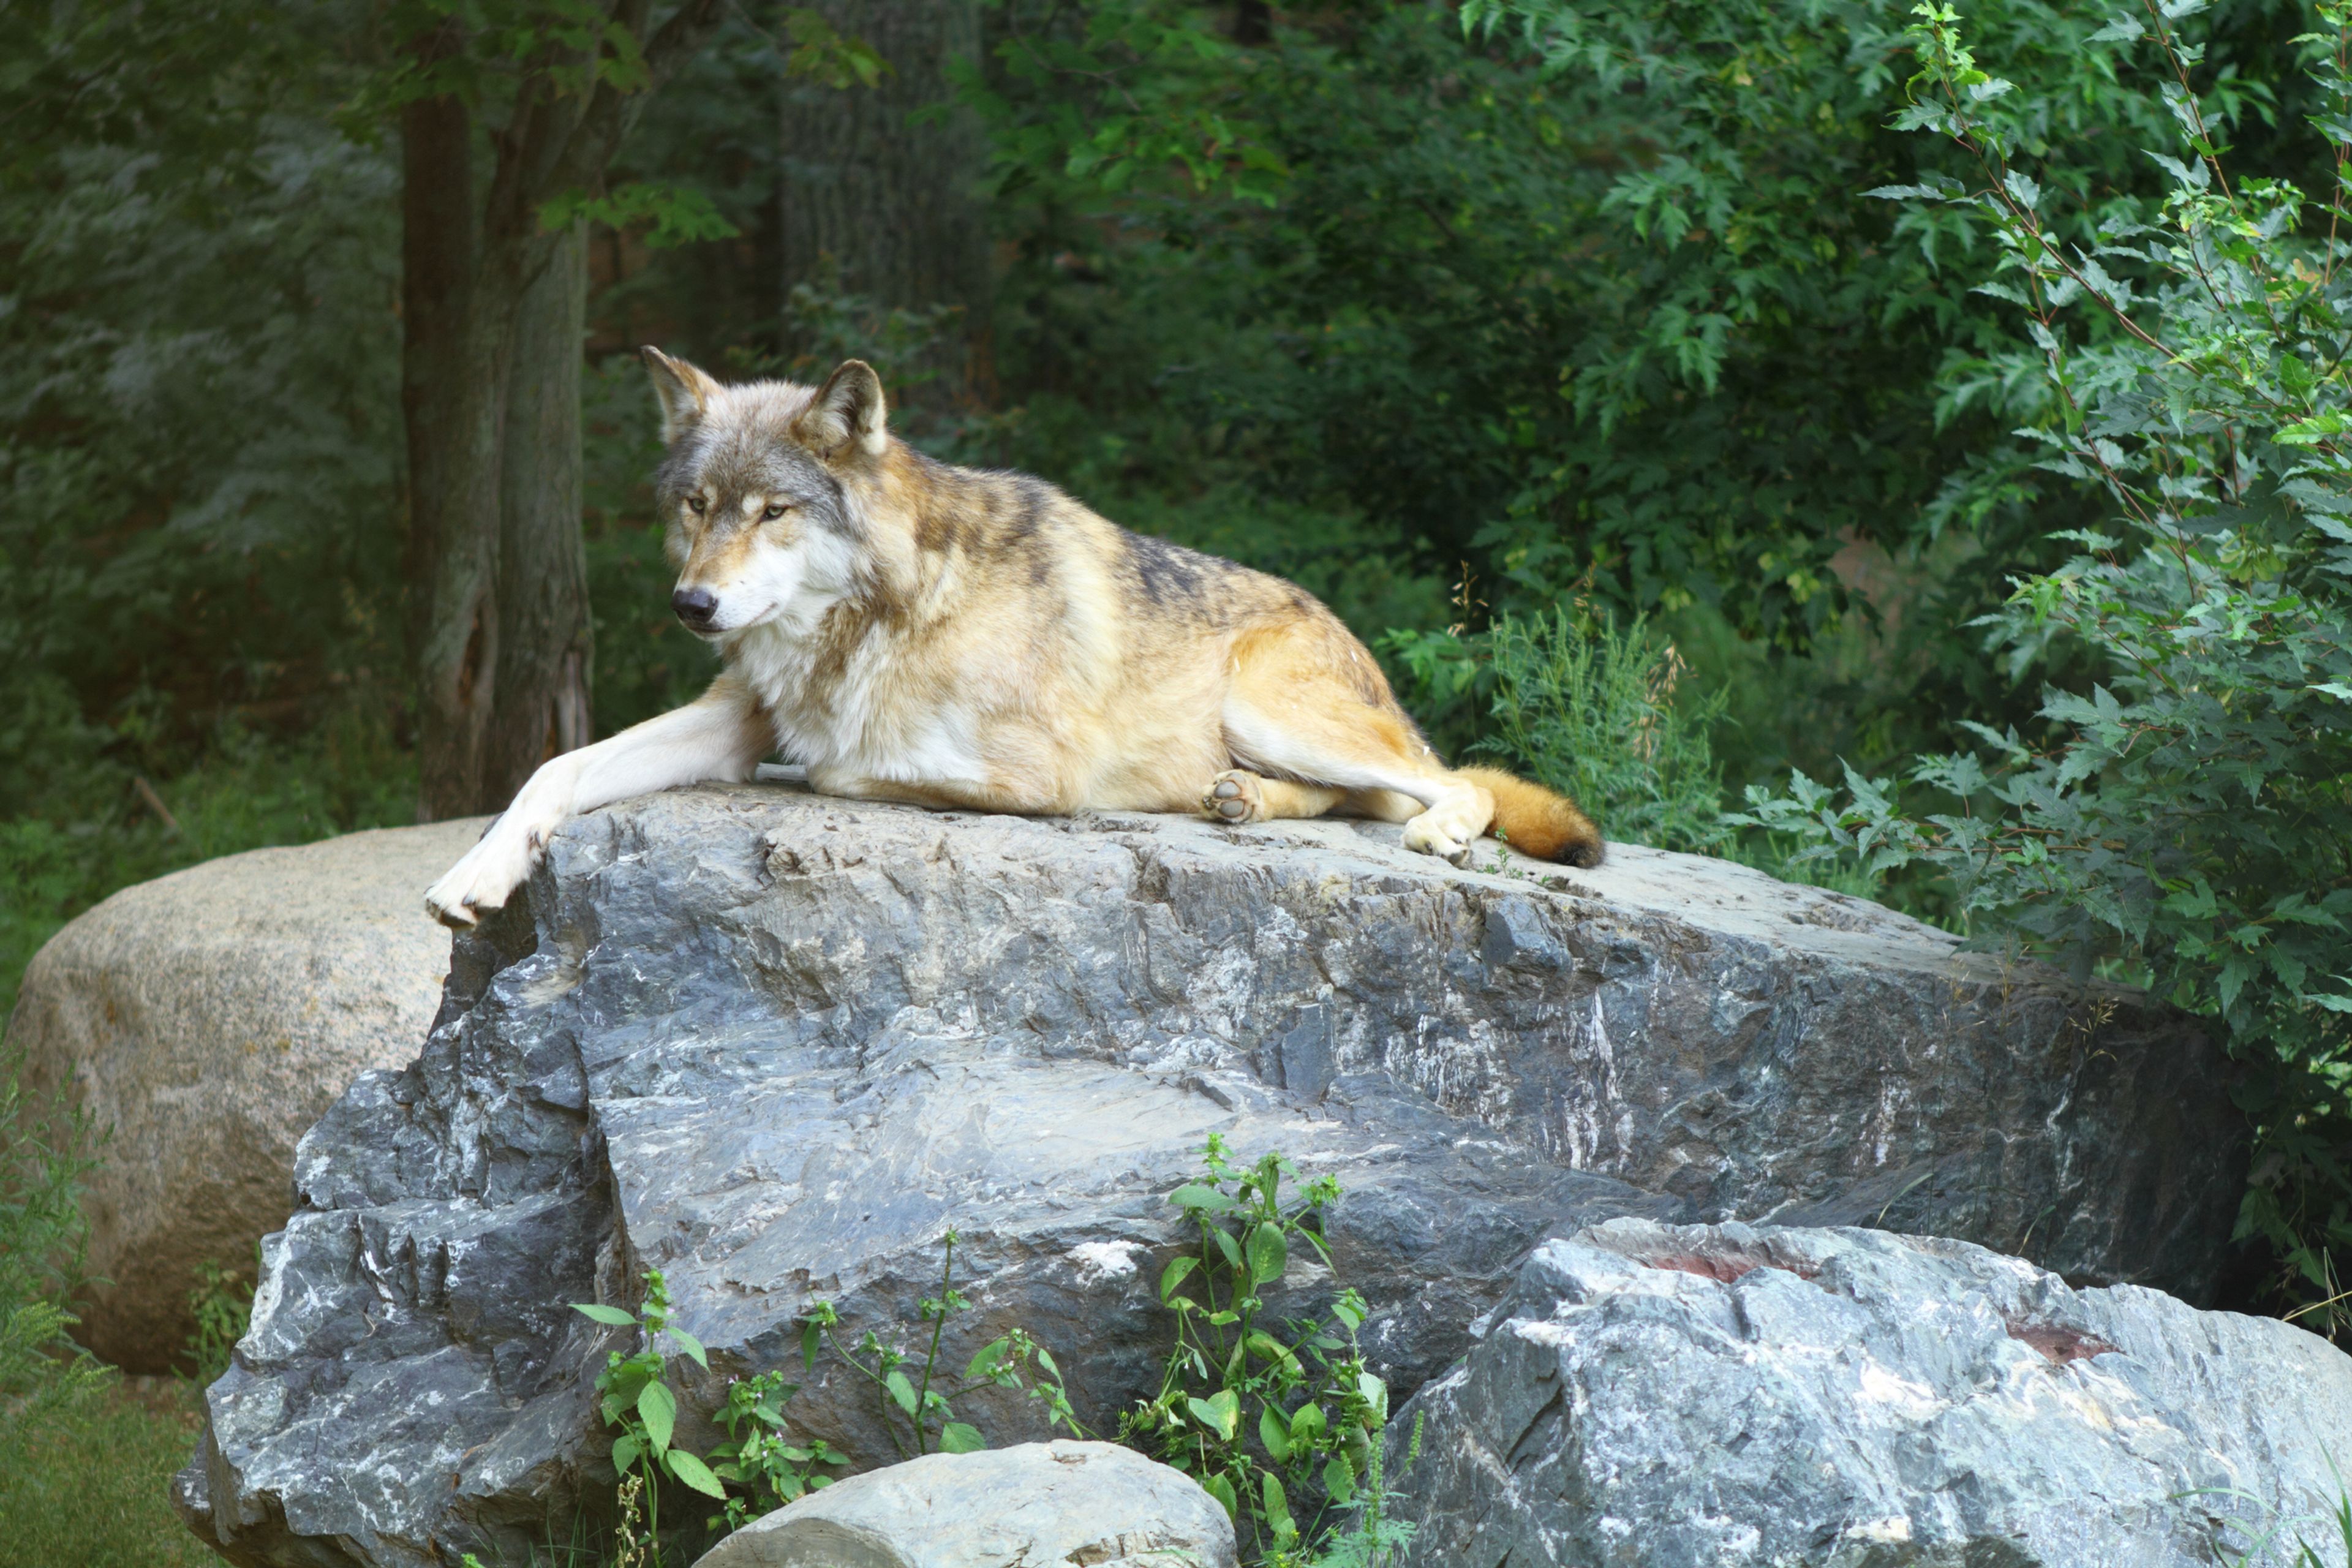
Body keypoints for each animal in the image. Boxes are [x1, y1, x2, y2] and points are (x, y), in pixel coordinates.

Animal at [423, 350, 1599, 926]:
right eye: (698, 507)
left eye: (774, 513)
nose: (692, 607)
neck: (878, 613)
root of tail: (1344, 632)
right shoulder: (735, 721)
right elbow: (557, 766)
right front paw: (474, 876)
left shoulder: (1039, 775)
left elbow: (838, 767)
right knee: (1369, 795)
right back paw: (1236, 801)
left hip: (1269, 705)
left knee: (1459, 783)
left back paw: (1435, 831)